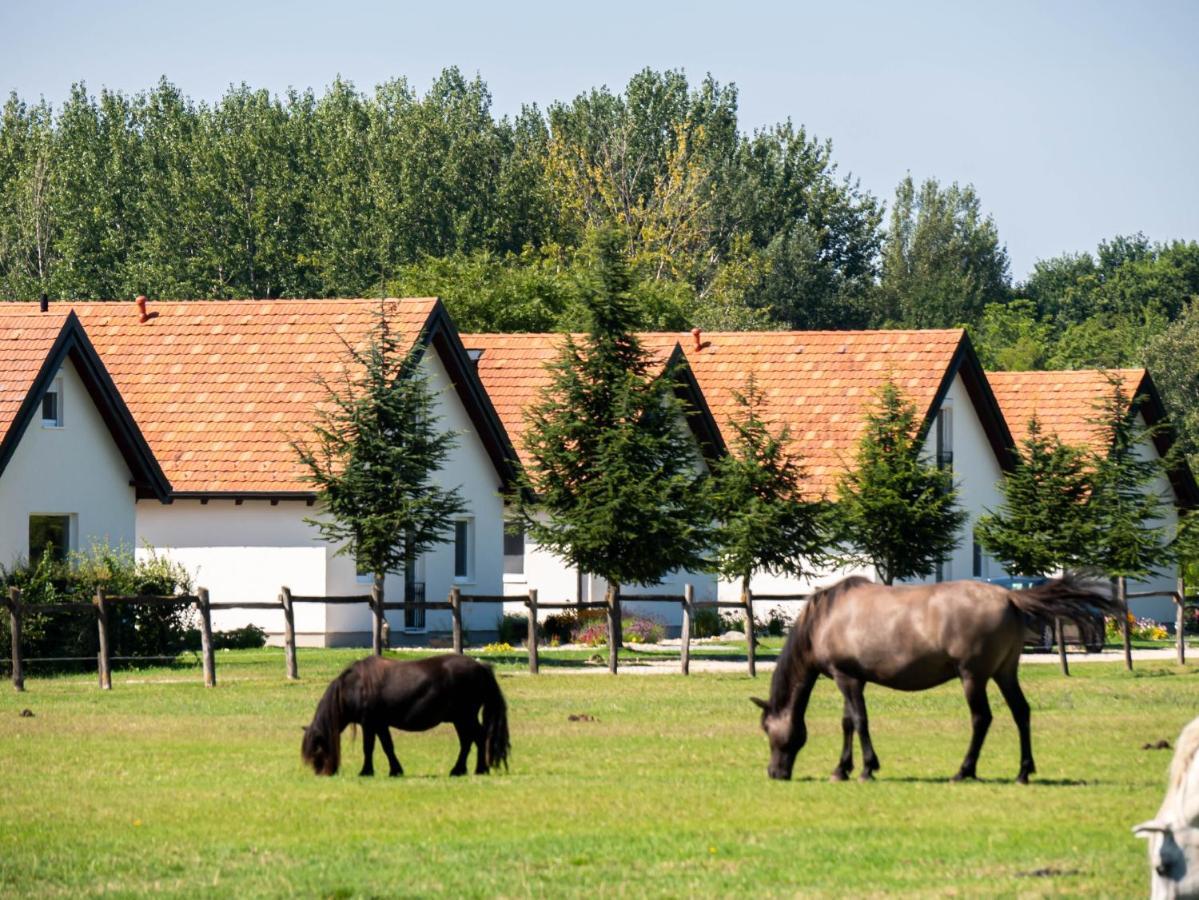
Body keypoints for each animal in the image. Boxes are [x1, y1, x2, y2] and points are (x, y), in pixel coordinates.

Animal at [302, 651, 508, 776]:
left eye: (317, 747)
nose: (321, 772)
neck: (354, 687)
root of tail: (481, 667)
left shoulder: (369, 724)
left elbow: (368, 748)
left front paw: (366, 771)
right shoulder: (380, 724)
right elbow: (387, 747)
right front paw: (395, 770)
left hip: (466, 717)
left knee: (478, 738)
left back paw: (479, 769)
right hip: (460, 719)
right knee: (467, 741)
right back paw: (459, 770)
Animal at [752, 577, 1117, 781]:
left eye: (768, 729)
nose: (775, 773)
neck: (824, 620)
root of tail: (1009, 597)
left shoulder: (848, 678)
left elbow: (859, 721)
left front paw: (868, 768)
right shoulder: (854, 679)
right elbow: (848, 723)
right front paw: (842, 769)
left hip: (973, 676)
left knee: (981, 718)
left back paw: (965, 770)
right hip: (1005, 673)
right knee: (1021, 713)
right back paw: (1023, 772)